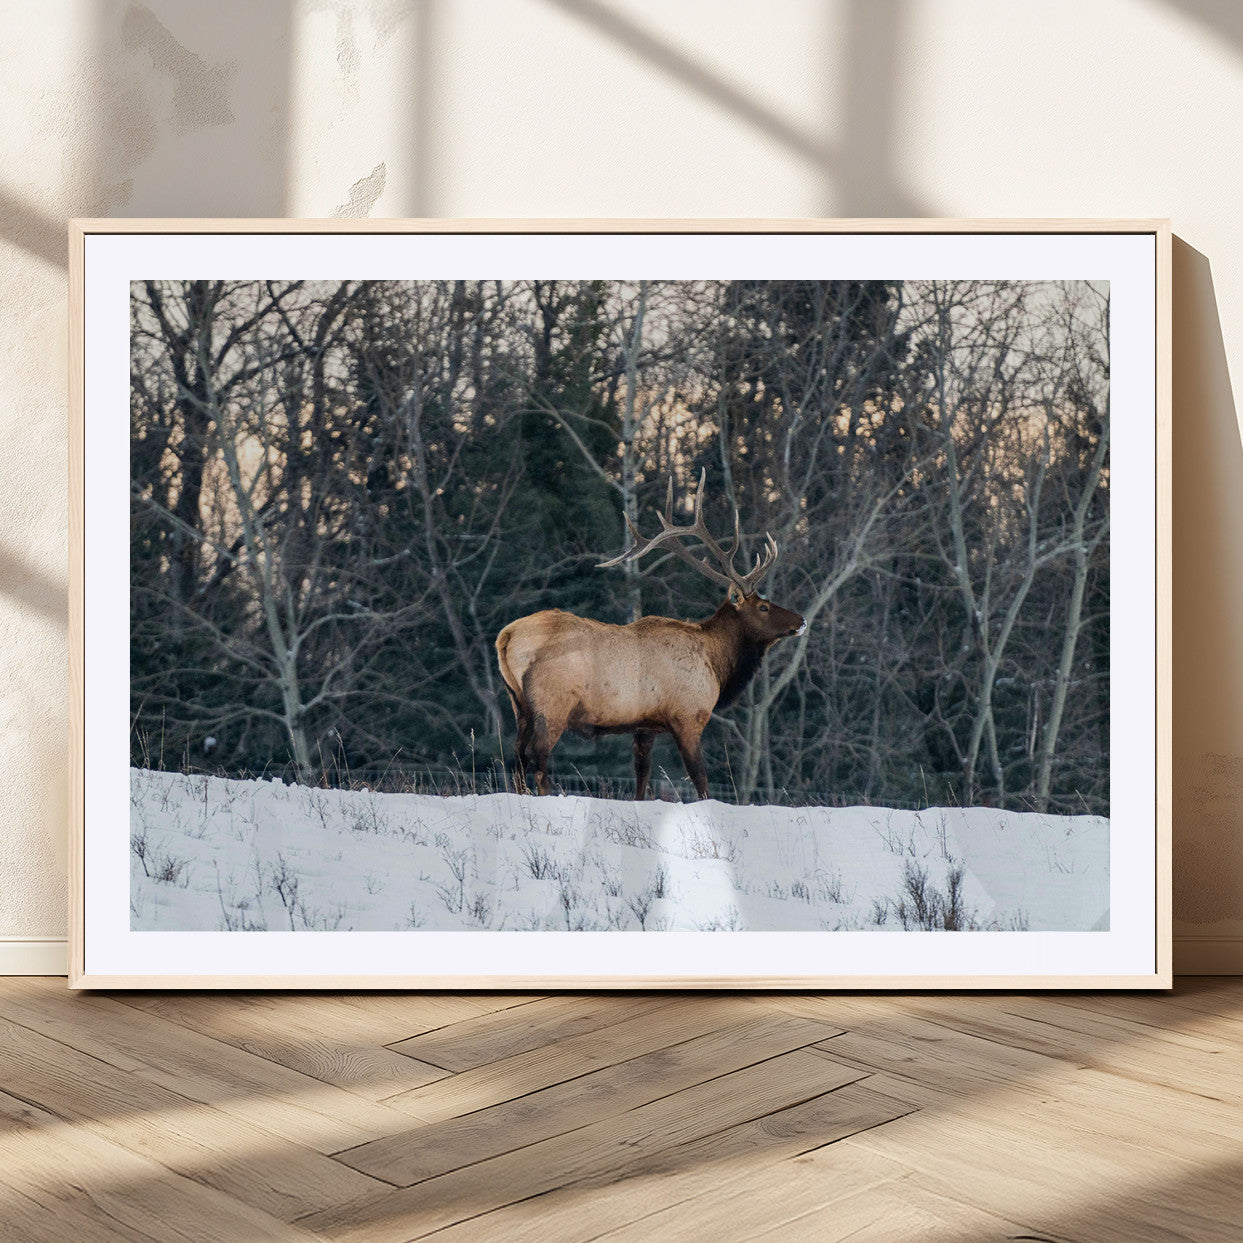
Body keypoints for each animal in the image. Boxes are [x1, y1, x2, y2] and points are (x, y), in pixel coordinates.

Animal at [495, 471, 805, 800]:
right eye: (763, 607)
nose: (801, 620)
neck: (717, 664)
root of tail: (506, 636)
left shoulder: (645, 724)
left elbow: (642, 775)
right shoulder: (687, 714)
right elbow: (700, 778)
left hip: (519, 705)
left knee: (517, 756)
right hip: (552, 703)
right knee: (537, 756)